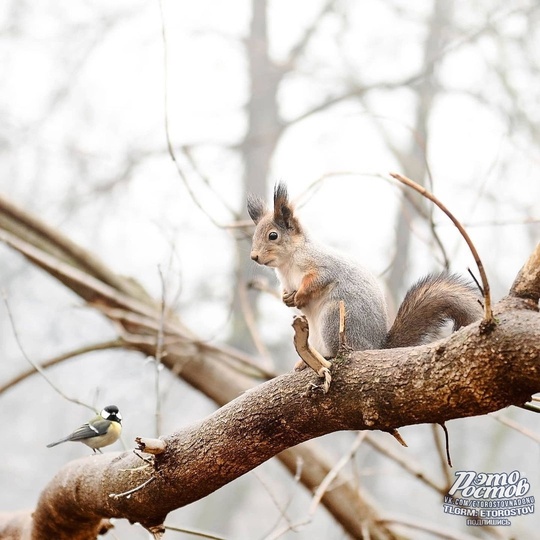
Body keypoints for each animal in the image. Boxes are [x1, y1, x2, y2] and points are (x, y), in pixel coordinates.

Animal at [247, 182, 484, 362]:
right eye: (254, 235)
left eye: (273, 236)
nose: (254, 257)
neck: (286, 265)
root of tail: (375, 347)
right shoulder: (286, 281)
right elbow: (286, 292)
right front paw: (286, 299)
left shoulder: (323, 265)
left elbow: (318, 280)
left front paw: (300, 296)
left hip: (334, 318)